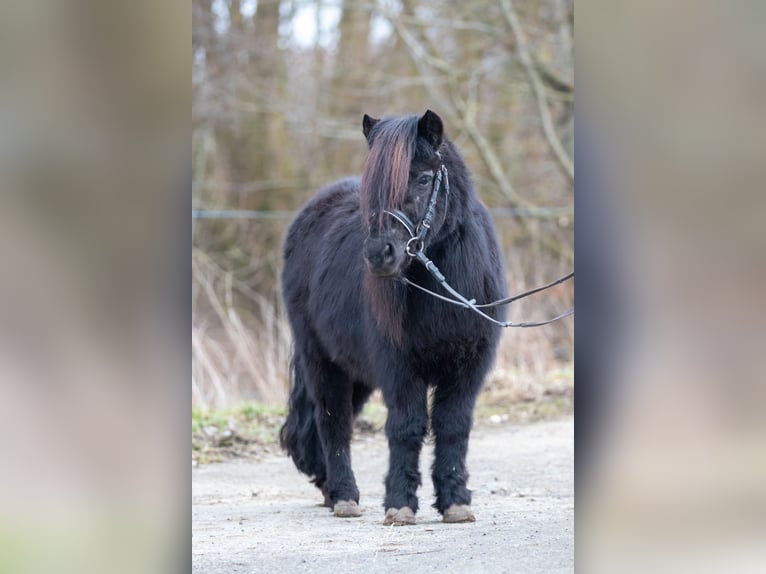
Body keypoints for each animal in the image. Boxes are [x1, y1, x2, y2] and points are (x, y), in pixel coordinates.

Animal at [280, 109, 508, 528]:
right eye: (374, 185)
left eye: (423, 178)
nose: (379, 253)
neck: (443, 287)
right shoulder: (399, 367)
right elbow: (406, 427)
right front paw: (400, 503)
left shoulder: (469, 367)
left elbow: (453, 426)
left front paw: (455, 502)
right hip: (320, 359)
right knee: (333, 420)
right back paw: (344, 495)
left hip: (354, 368)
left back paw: (328, 488)